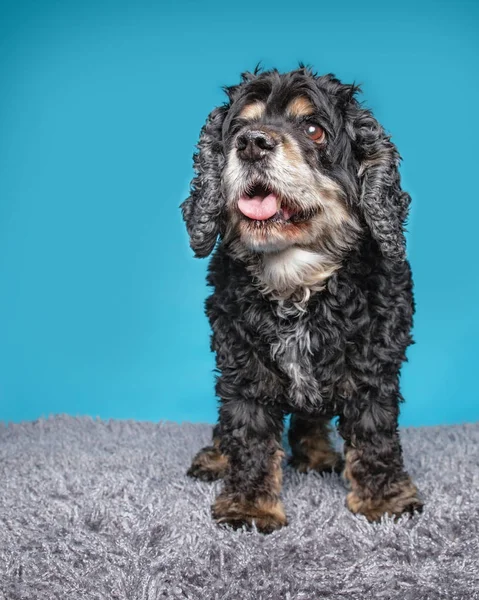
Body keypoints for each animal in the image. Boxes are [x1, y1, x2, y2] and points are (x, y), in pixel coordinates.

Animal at [180, 67, 424, 536]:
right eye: (238, 128)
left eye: (314, 130)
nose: (251, 143)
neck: (297, 281)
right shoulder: (242, 365)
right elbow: (249, 432)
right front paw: (250, 505)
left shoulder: (373, 364)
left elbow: (374, 431)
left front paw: (385, 499)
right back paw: (218, 456)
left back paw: (316, 454)